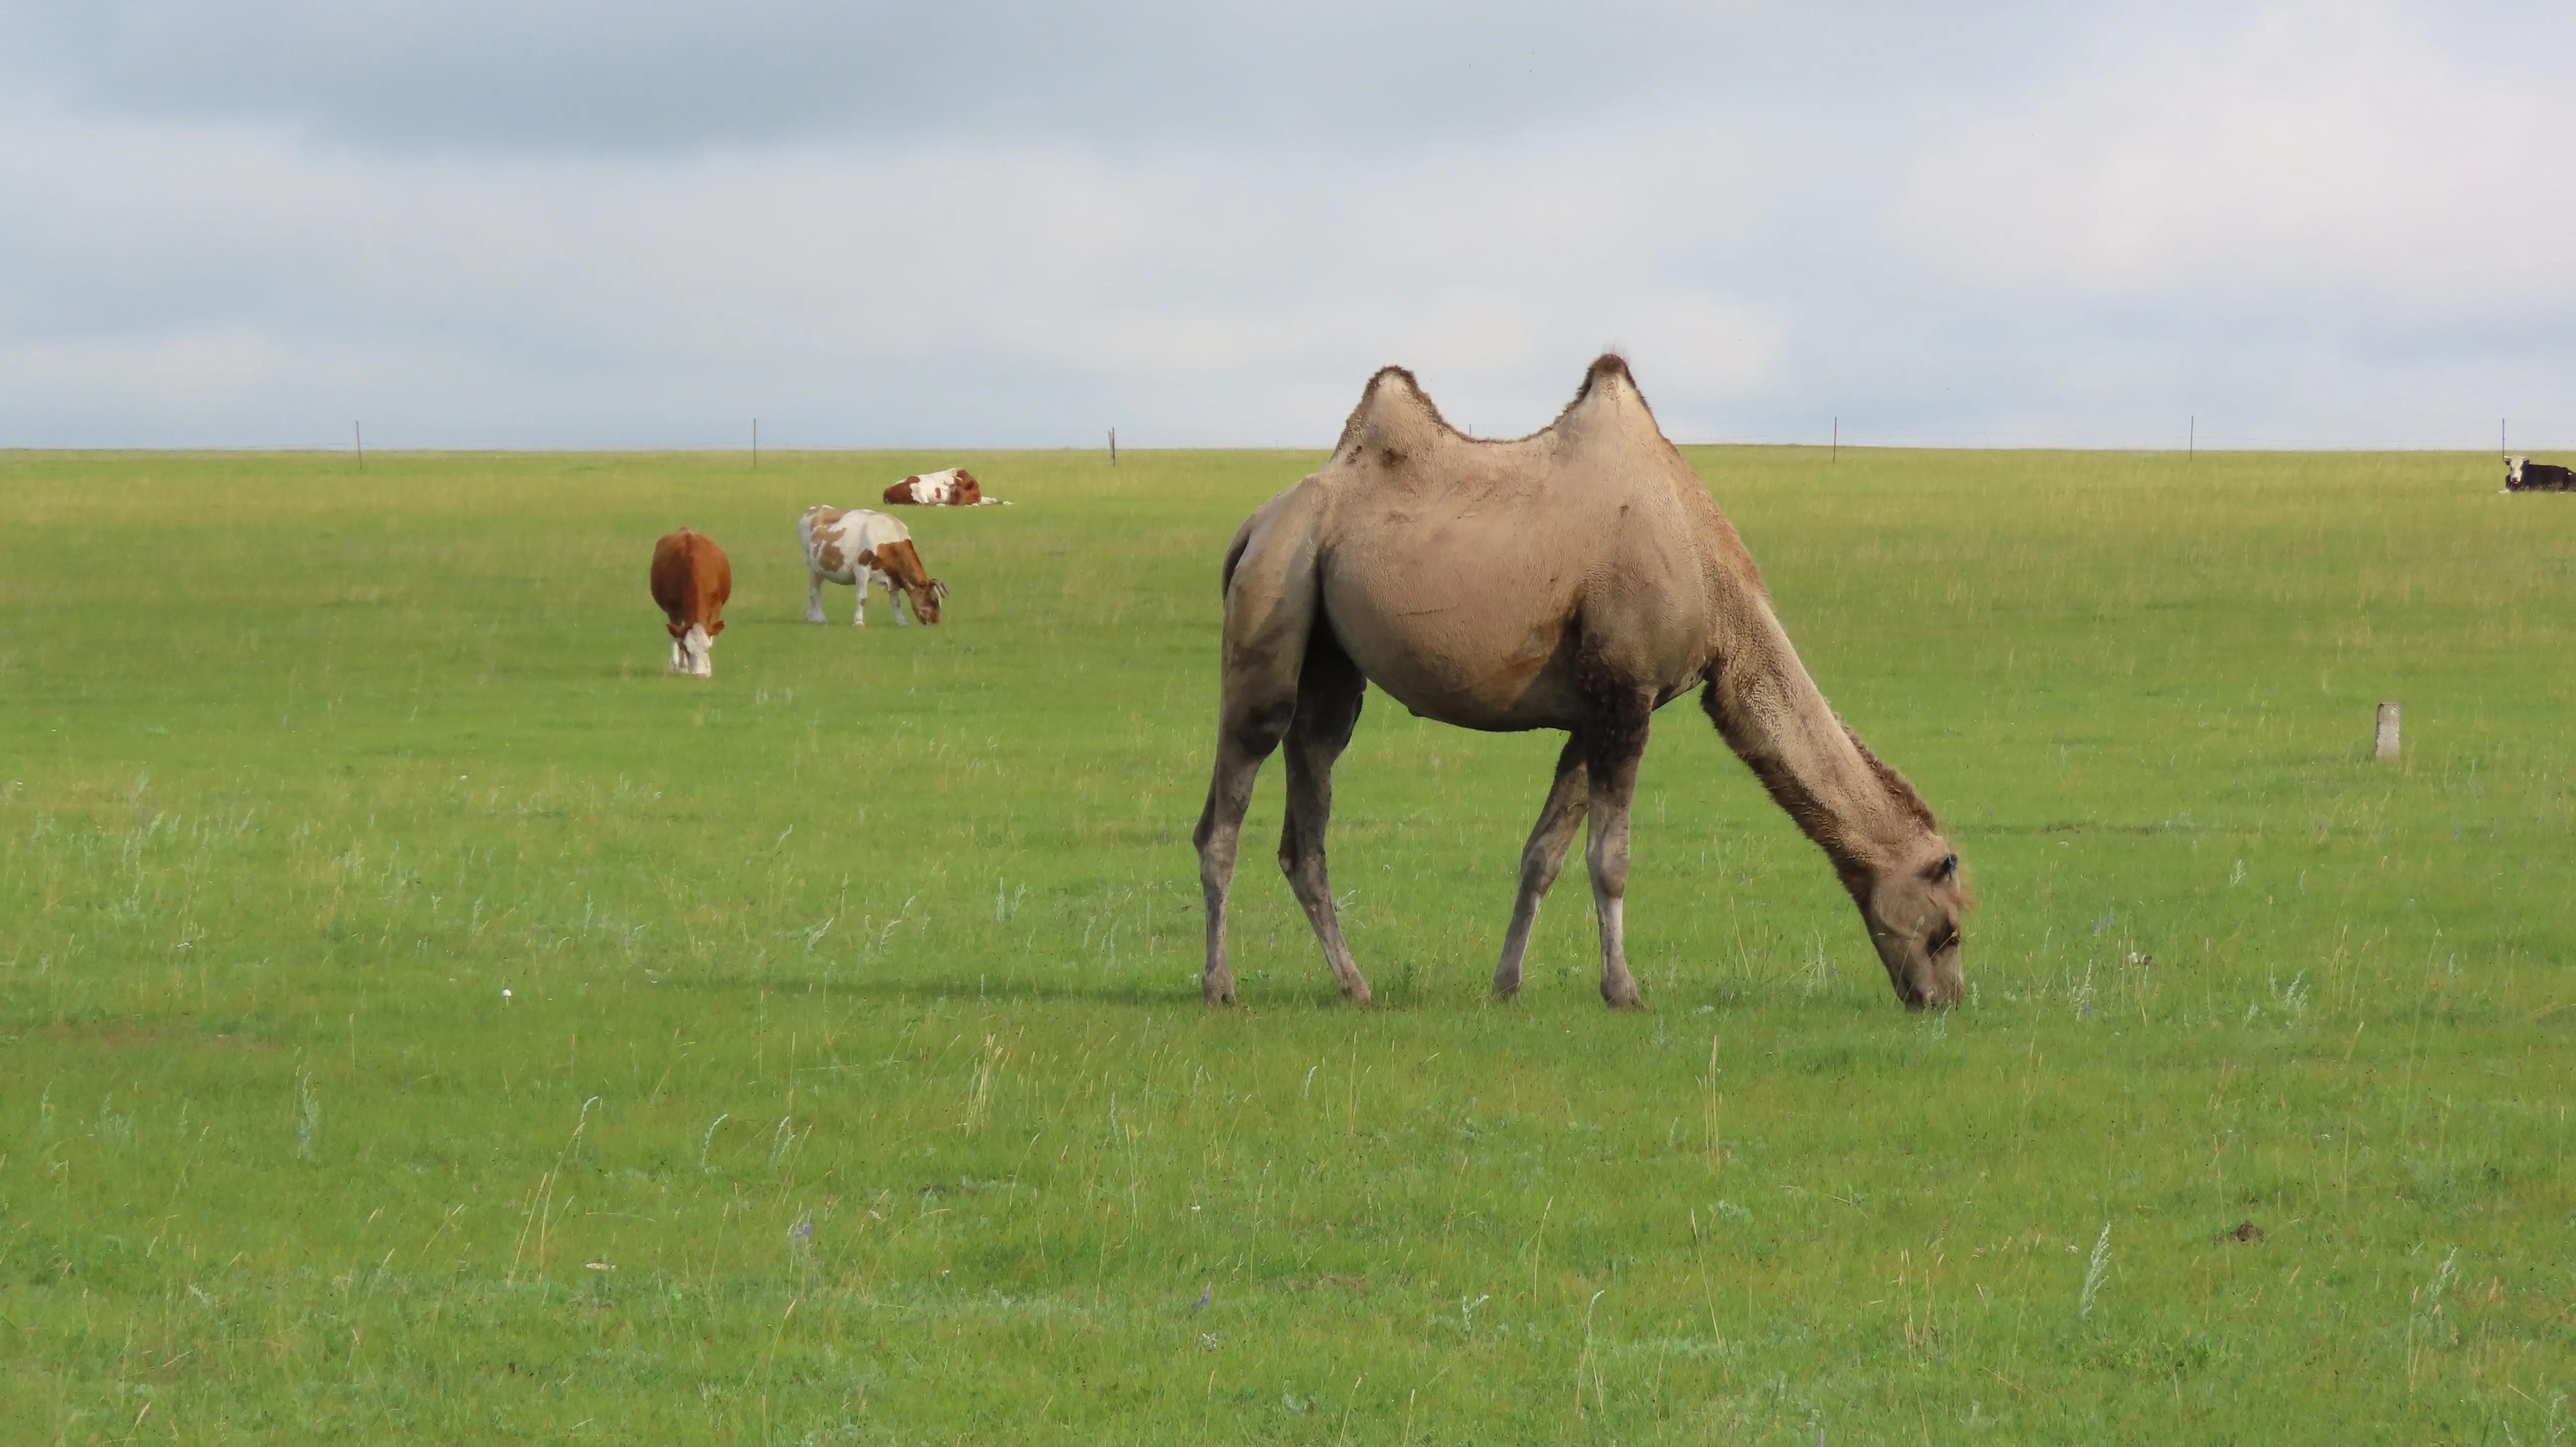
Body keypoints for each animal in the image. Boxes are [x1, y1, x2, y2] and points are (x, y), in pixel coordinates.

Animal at [649, 528, 731, 674]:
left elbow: (711, 633)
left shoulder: (716, 606)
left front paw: (708, 668)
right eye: (687, 649)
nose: (700, 675)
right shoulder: (673, 609)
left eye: (708, 649)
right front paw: (682, 667)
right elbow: (678, 638)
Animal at [799, 504, 953, 623]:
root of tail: (814, 509)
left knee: (815, 590)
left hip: (819, 568)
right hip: (810, 565)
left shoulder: (894, 576)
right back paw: (819, 618)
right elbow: (862, 597)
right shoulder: (862, 568)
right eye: (933, 600)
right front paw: (858, 621)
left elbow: (896, 601)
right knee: (815, 591)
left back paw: (811, 617)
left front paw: (901, 622)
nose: (936, 622)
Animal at [886, 469, 1004, 507]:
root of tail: (887, 492)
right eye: (956, 493)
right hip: (917, 490)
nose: (955, 503)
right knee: (926, 504)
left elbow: (993, 499)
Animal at [1195, 352, 1957, 1004]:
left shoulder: (1592, 714)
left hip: (1330, 656)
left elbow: (1544, 853)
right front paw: (1624, 990)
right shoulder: (1628, 697)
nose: (1942, 999)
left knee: (1308, 810)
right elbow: (1611, 857)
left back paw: (1356, 986)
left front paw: (1506, 984)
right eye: (1949, 928)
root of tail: (1253, 526)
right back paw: (1220, 986)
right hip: (1276, 589)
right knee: (1230, 801)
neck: (1712, 587)